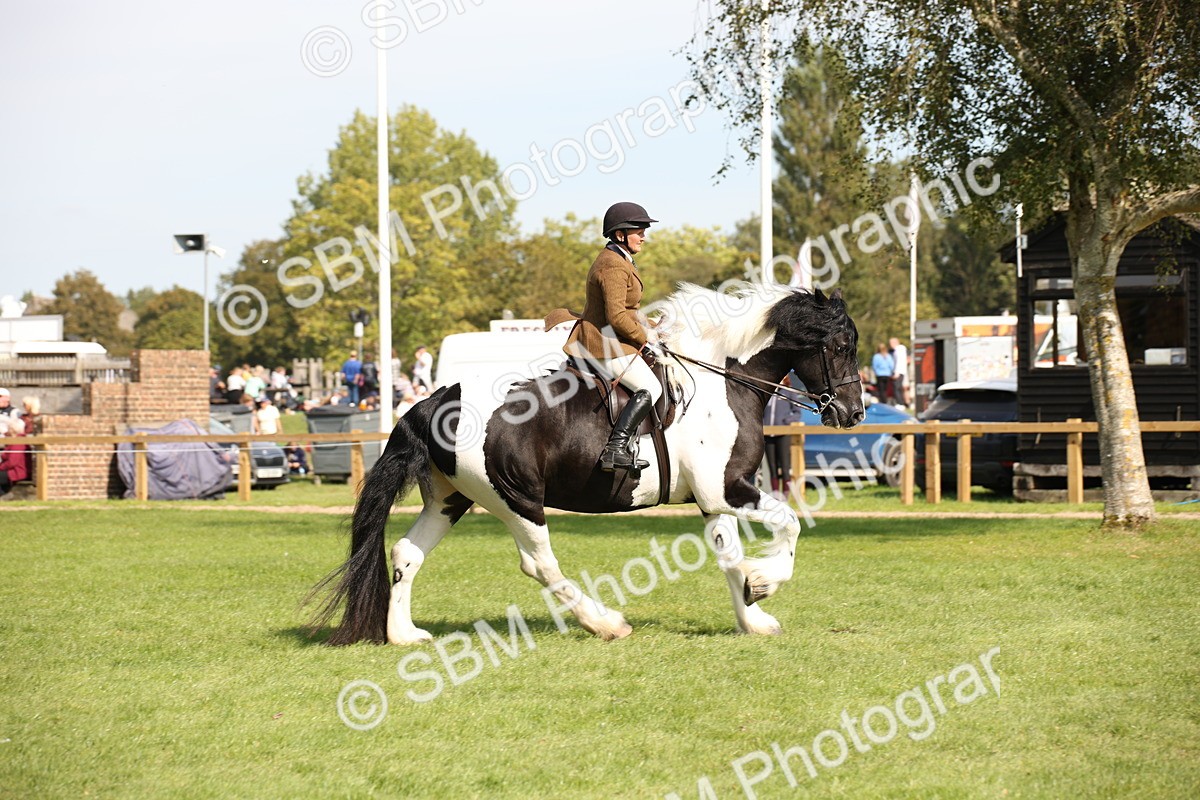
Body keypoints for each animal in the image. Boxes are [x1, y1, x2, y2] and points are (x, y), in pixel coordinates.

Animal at [308, 283, 864, 645]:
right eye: (841, 346)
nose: (853, 413)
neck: (723, 382)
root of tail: (435, 399)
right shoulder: (728, 488)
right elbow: (789, 524)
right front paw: (764, 582)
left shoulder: (712, 499)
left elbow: (729, 557)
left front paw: (753, 619)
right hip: (515, 498)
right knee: (539, 564)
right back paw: (606, 623)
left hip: (453, 497)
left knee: (406, 552)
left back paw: (403, 635)